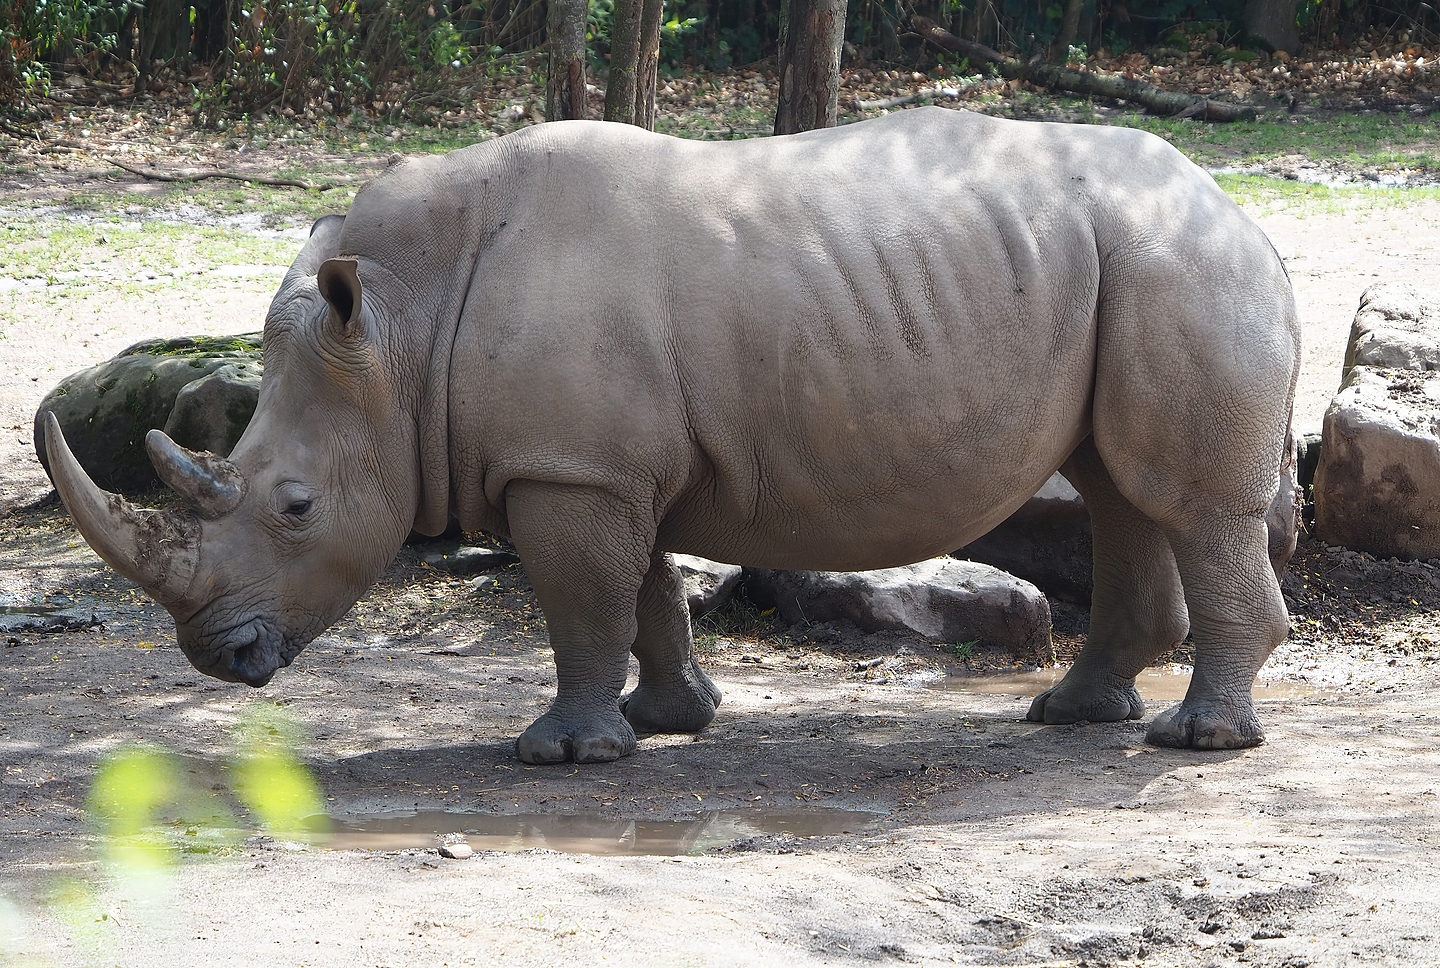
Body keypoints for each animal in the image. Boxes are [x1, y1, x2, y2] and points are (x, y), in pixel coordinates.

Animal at [44, 107, 1300, 764]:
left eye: (294, 505)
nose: (216, 656)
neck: (399, 331)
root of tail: (1245, 213)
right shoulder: (604, 461)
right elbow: (643, 590)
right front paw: (666, 721)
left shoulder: (571, 469)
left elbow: (582, 603)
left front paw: (562, 751)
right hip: (1130, 265)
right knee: (1120, 486)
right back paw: (1077, 713)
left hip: (1178, 263)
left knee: (1182, 499)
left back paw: (1197, 740)